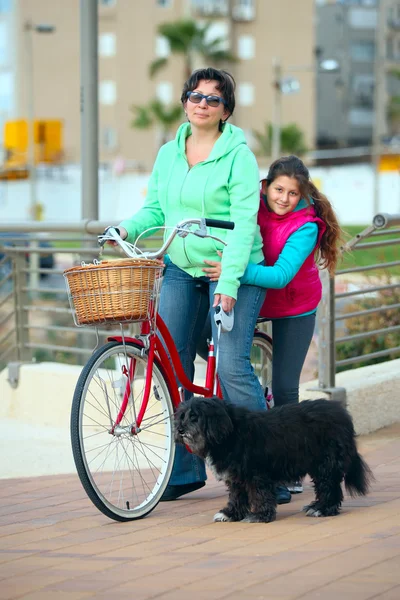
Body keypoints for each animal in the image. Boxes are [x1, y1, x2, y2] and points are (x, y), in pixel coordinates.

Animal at [173, 398, 374, 520]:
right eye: (182, 416)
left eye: (195, 417)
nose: (180, 430)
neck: (230, 433)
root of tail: (342, 414)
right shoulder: (236, 477)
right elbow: (236, 496)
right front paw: (230, 514)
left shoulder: (257, 473)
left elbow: (261, 494)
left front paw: (260, 516)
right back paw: (317, 505)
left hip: (327, 463)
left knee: (329, 487)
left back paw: (323, 509)